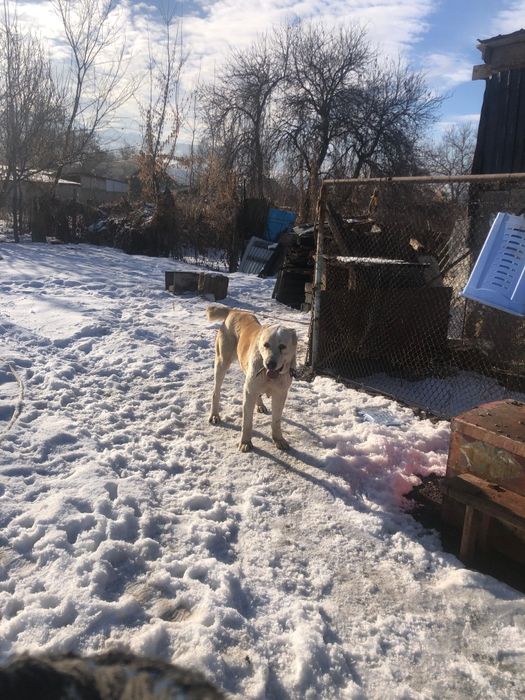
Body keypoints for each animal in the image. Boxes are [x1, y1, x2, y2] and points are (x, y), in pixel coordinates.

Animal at [207, 305, 297, 452]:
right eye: (266, 345)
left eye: (282, 346)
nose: (270, 364)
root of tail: (233, 310)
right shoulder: (249, 393)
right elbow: (247, 422)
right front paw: (245, 442)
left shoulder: (280, 394)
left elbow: (276, 420)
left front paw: (278, 439)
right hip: (221, 363)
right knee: (216, 392)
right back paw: (214, 415)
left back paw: (260, 405)